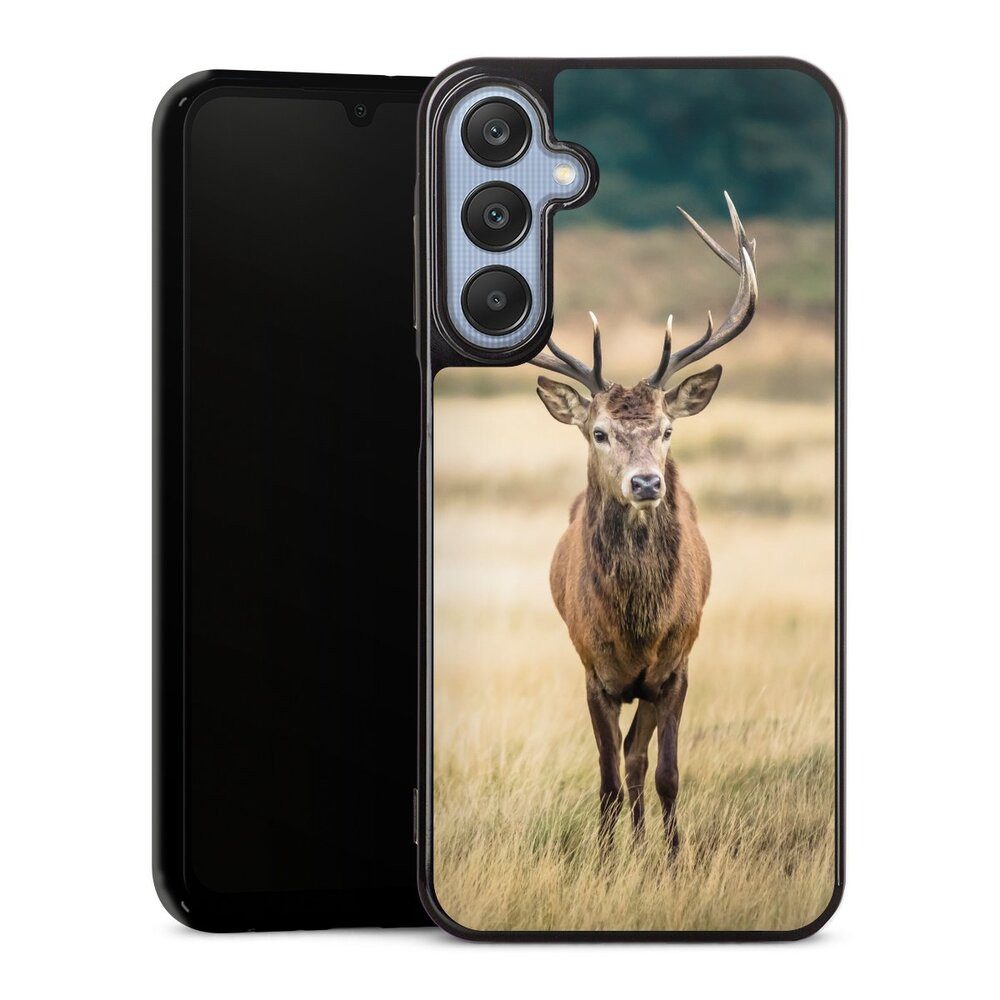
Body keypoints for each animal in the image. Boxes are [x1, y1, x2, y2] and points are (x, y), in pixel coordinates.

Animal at [531, 193, 758, 858]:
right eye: (599, 432)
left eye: (667, 429)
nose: (647, 483)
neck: (636, 626)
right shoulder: (592, 670)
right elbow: (606, 778)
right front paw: (607, 864)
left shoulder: (676, 667)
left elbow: (665, 774)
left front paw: (675, 860)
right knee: (623, 762)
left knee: (639, 758)